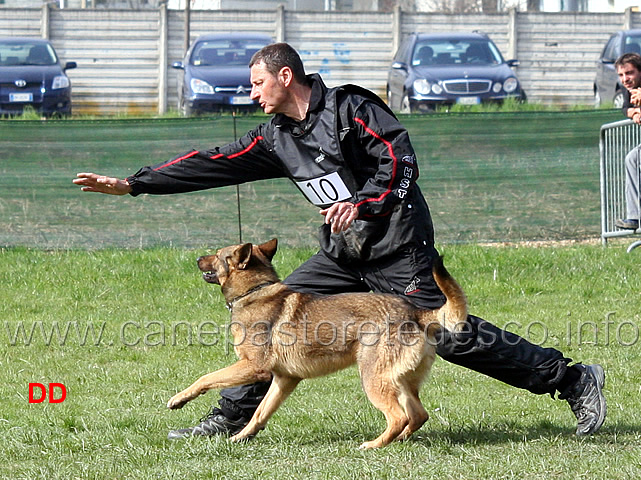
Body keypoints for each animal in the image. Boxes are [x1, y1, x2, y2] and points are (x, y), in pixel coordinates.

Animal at [166, 240, 464, 450]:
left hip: (372, 379)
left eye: (217, 255)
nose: (196, 258)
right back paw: (398, 440)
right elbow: (260, 413)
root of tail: (417, 312)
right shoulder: (284, 379)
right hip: (398, 381)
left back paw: (374, 445)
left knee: (399, 417)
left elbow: (206, 378)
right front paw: (240, 437)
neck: (255, 291)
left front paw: (179, 399)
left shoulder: (253, 367)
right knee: (418, 415)